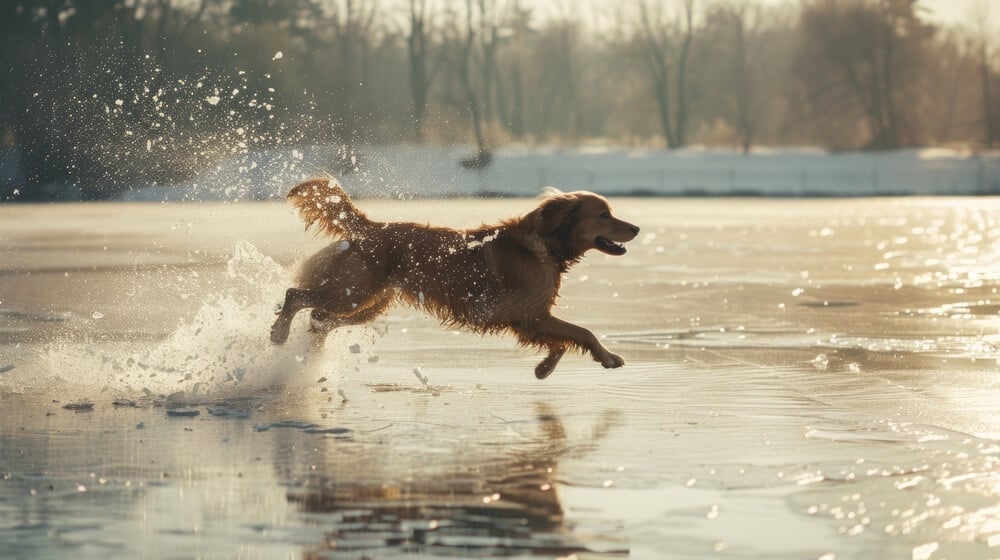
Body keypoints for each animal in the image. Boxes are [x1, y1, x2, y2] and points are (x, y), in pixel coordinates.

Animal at [268, 178, 640, 380]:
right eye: (604, 215)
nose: (636, 228)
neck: (545, 244)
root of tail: (370, 227)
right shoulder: (532, 314)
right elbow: (583, 332)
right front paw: (609, 357)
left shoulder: (528, 319)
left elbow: (562, 342)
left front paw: (544, 368)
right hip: (354, 292)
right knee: (295, 295)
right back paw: (279, 333)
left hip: (368, 302)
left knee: (319, 319)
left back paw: (311, 358)